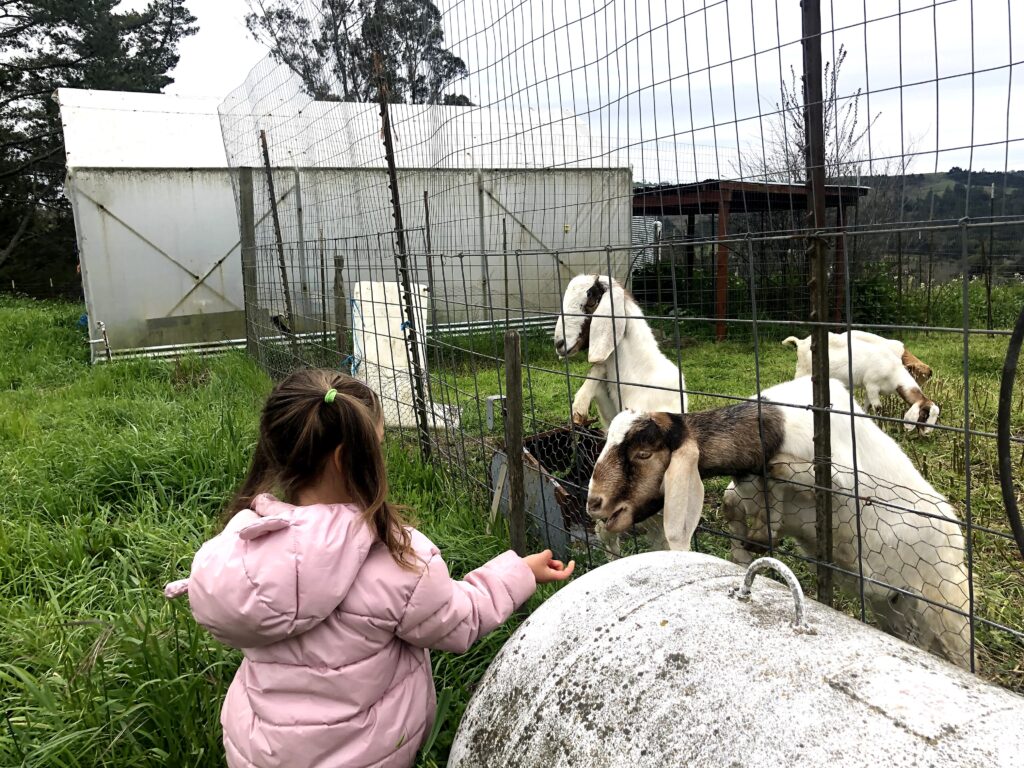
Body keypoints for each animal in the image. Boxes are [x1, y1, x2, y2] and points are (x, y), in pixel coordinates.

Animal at [586, 376, 970, 668]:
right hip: (893, 609)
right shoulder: (750, 489)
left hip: (948, 609)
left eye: (643, 453)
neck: (774, 424)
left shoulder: (838, 477)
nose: (594, 503)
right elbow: (735, 507)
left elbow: (790, 470)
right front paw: (749, 546)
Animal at [782, 332, 940, 436]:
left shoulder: (869, 389)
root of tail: (801, 342)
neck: (893, 372)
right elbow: (879, 409)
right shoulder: (872, 386)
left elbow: (867, 406)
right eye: (924, 415)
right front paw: (883, 429)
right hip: (802, 371)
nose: (927, 434)